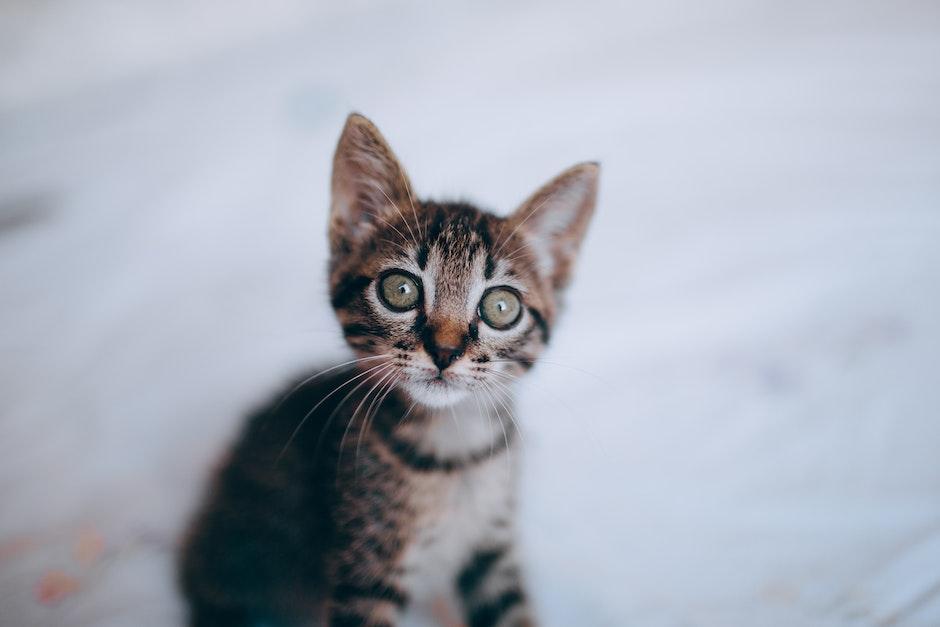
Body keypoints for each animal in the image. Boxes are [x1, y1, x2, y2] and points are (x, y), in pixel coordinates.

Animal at [180, 114, 600, 627]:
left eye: (501, 307)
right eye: (399, 289)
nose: (444, 351)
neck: (453, 450)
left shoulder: (492, 549)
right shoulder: (365, 566)